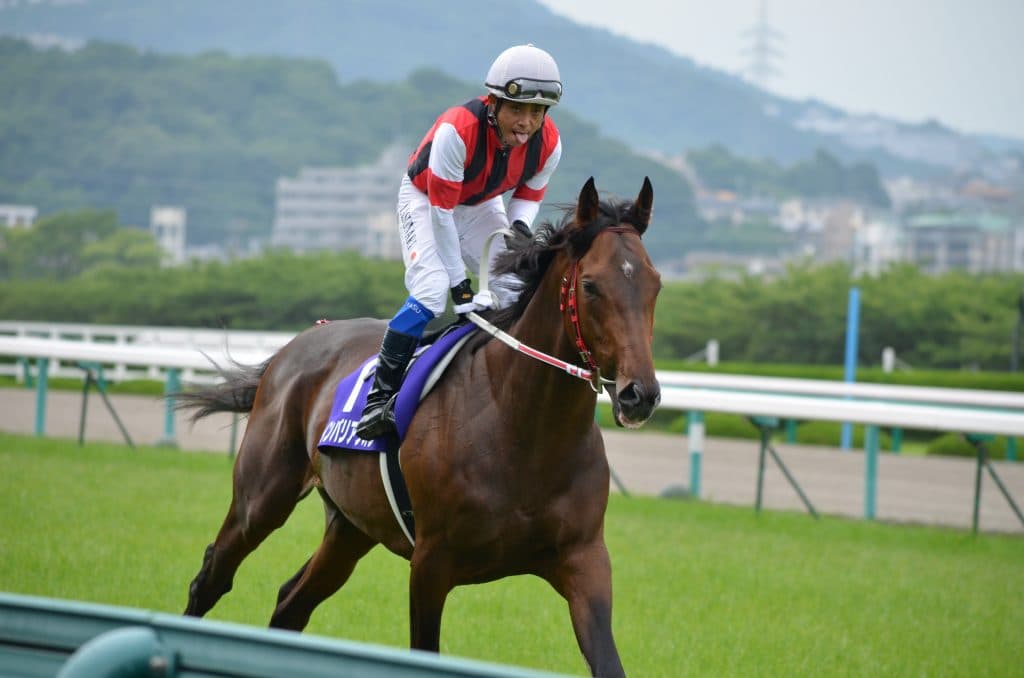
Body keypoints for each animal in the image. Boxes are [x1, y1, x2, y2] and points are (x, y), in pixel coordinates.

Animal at [177, 177, 663, 677]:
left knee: (291, 603)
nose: (639, 394)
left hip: (351, 527)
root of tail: (297, 343)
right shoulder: (431, 563)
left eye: (655, 284)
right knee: (211, 578)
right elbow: (423, 651)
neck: (524, 433)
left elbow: (608, 661)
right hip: (261, 499)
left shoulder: (585, 561)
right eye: (590, 285)